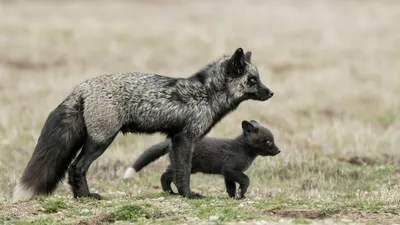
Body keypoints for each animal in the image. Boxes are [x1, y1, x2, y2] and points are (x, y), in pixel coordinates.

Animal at [13, 47, 276, 202]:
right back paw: (87, 196)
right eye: (252, 80)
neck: (206, 93)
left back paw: (80, 197)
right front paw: (188, 195)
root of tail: (82, 86)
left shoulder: (175, 138)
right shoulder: (185, 138)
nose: (271, 92)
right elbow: (183, 172)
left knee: (73, 168)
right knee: (77, 167)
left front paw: (176, 193)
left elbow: (176, 171)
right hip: (101, 141)